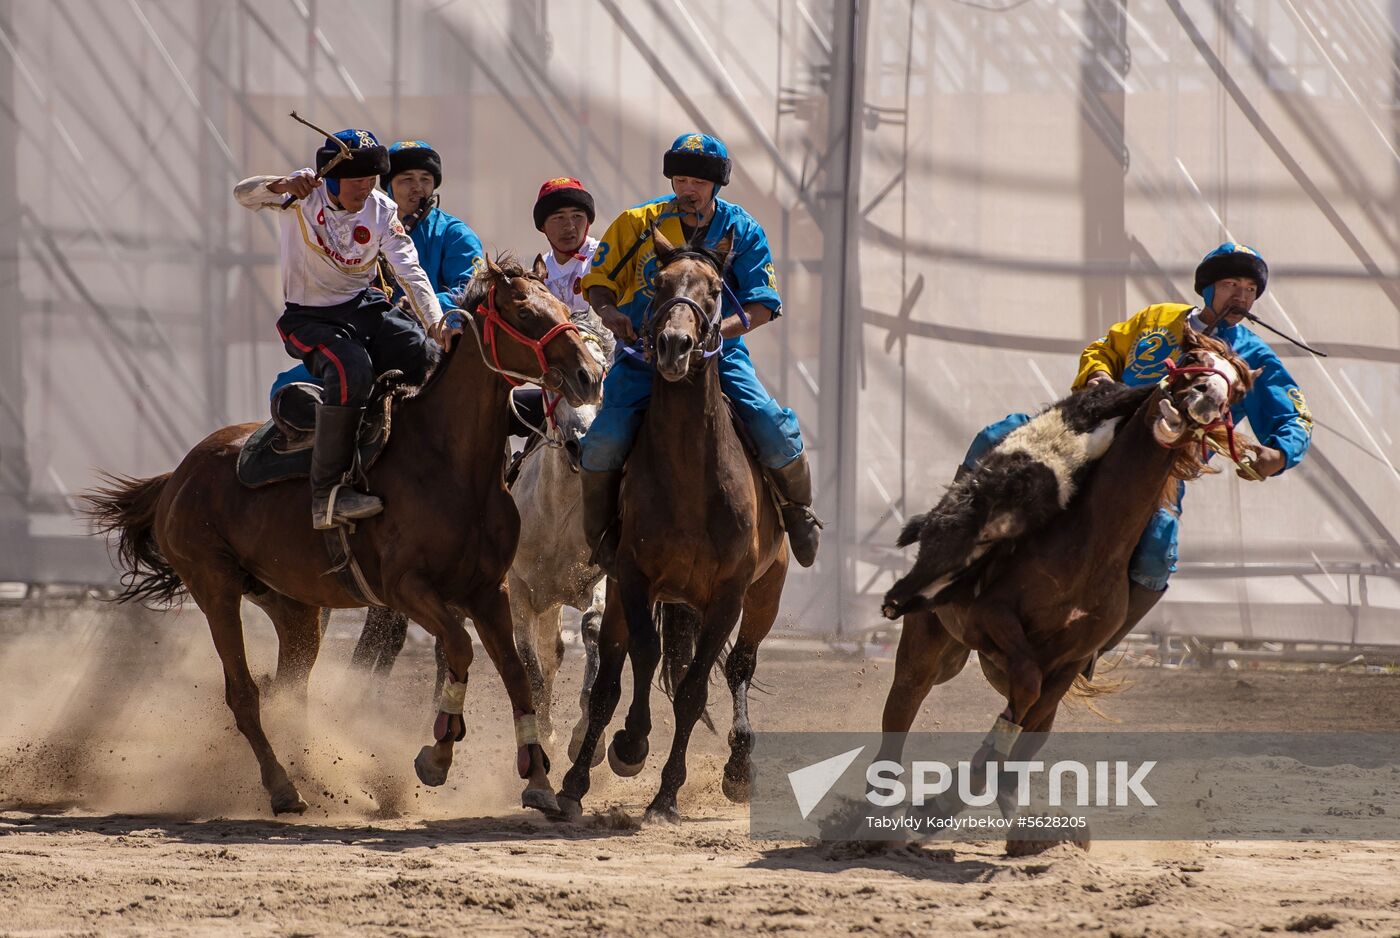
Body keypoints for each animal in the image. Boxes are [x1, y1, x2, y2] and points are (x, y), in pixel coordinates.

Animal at [81, 254, 604, 817]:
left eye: (562, 307)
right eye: (524, 311)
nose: (589, 376)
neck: (445, 462)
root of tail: (179, 474)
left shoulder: (490, 590)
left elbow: (515, 673)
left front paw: (538, 780)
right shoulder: (407, 590)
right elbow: (461, 649)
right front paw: (437, 754)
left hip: (294, 608)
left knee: (289, 688)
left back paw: (315, 775)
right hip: (215, 588)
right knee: (244, 693)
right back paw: (282, 787)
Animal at [560, 228, 800, 823]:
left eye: (715, 290)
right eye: (660, 283)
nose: (673, 345)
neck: (692, 478)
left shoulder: (730, 595)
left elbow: (693, 690)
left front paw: (667, 794)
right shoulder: (633, 577)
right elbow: (641, 659)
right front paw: (630, 744)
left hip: (767, 590)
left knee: (739, 665)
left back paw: (738, 768)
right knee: (613, 672)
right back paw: (576, 781)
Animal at [873, 330, 1260, 845]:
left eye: (1236, 391)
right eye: (1194, 357)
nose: (1204, 398)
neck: (1093, 545)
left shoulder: (1073, 660)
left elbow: (1029, 715)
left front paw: (964, 800)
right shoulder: (993, 616)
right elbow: (1025, 685)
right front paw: (938, 802)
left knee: (1030, 724)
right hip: (929, 644)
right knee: (901, 708)